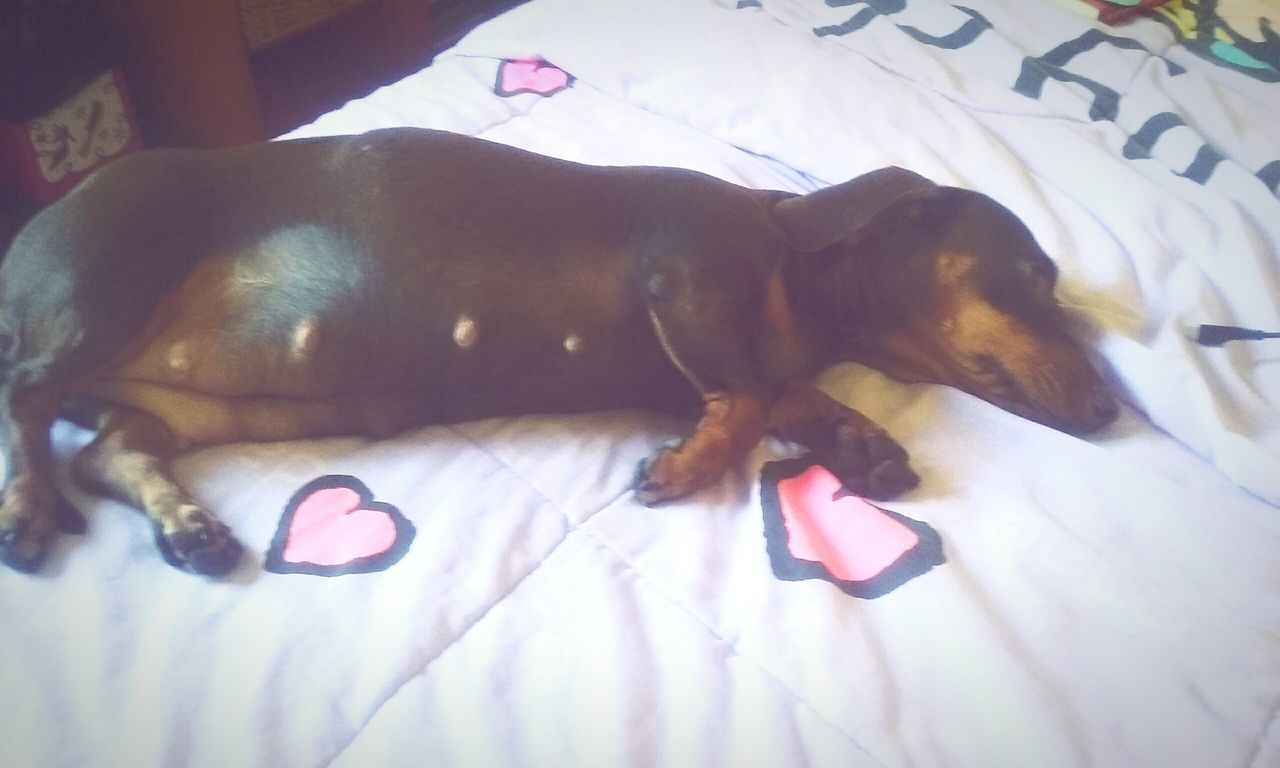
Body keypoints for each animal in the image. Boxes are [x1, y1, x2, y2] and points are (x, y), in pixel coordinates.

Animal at [0, 126, 1116, 573]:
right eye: (1029, 273)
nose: (1111, 410)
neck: (799, 272)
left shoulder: (705, 356)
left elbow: (782, 392)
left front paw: (860, 442)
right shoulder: (686, 284)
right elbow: (752, 397)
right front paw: (687, 467)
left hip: (192, 406)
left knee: (109, 451)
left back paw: (184, 524)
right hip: (99, 293)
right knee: (24, 402)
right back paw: (26, 510)